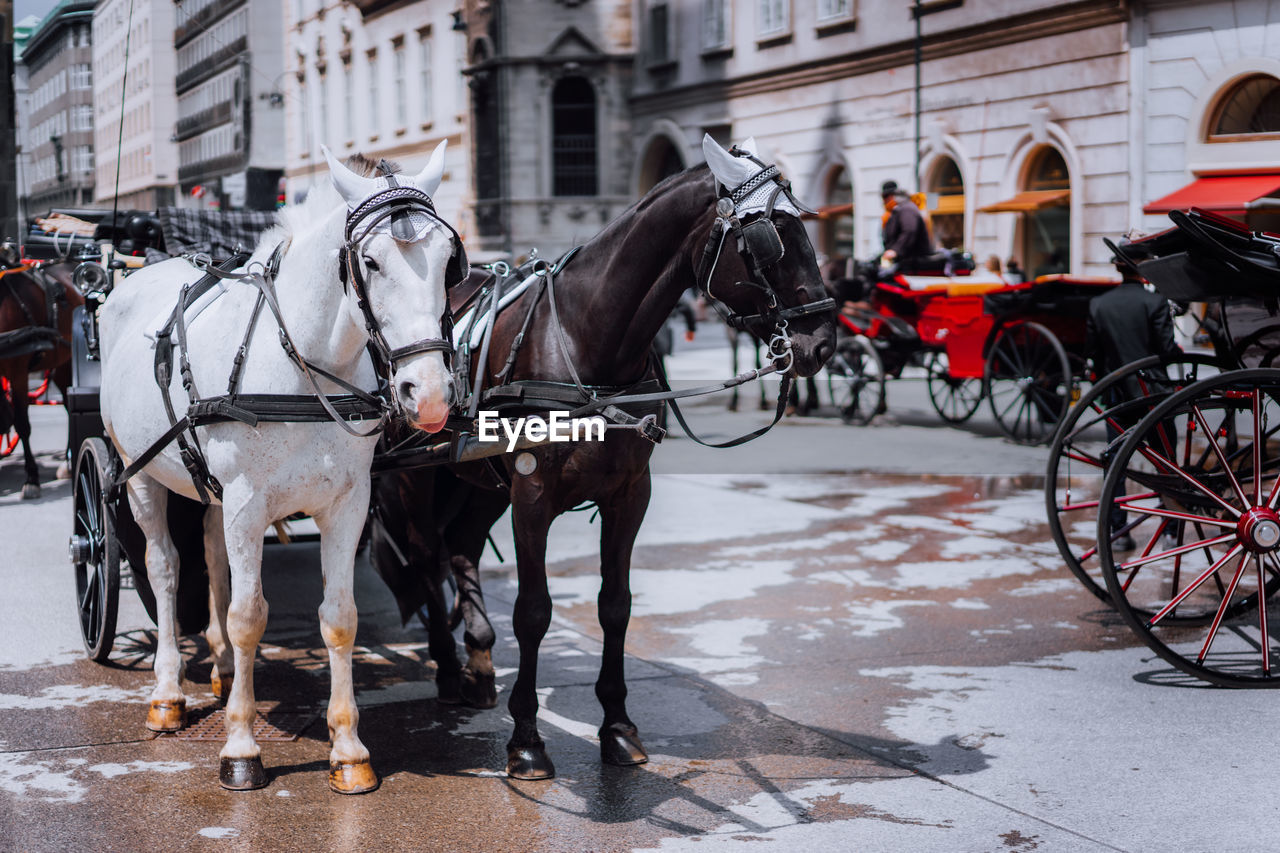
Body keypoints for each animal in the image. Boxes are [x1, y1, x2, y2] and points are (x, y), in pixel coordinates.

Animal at [101, 140, 460, 788]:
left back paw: (220, 666)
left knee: (212, 555)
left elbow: (339, 617)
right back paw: (167, 693)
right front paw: (241, 748)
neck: (304, 366)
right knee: (165, 569)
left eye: (450, 261)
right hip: (137, 472)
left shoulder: (346, 504)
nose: (429, 395)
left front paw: (349, 751)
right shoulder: (248, 502)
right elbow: (249, 616)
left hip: (211, 490)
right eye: (370, 262)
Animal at [368, 137, 839, 778]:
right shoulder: (532, 496)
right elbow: (534, 611)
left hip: (479, 480)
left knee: (461, 546)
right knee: (424, 557)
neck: (586, 344)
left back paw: (480, 660)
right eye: (768, 238)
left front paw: (616, 724)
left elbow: (615, 606)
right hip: (419, 483)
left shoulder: (628, 493)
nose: (822, 343)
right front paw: (526, 739)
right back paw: (445, 665)